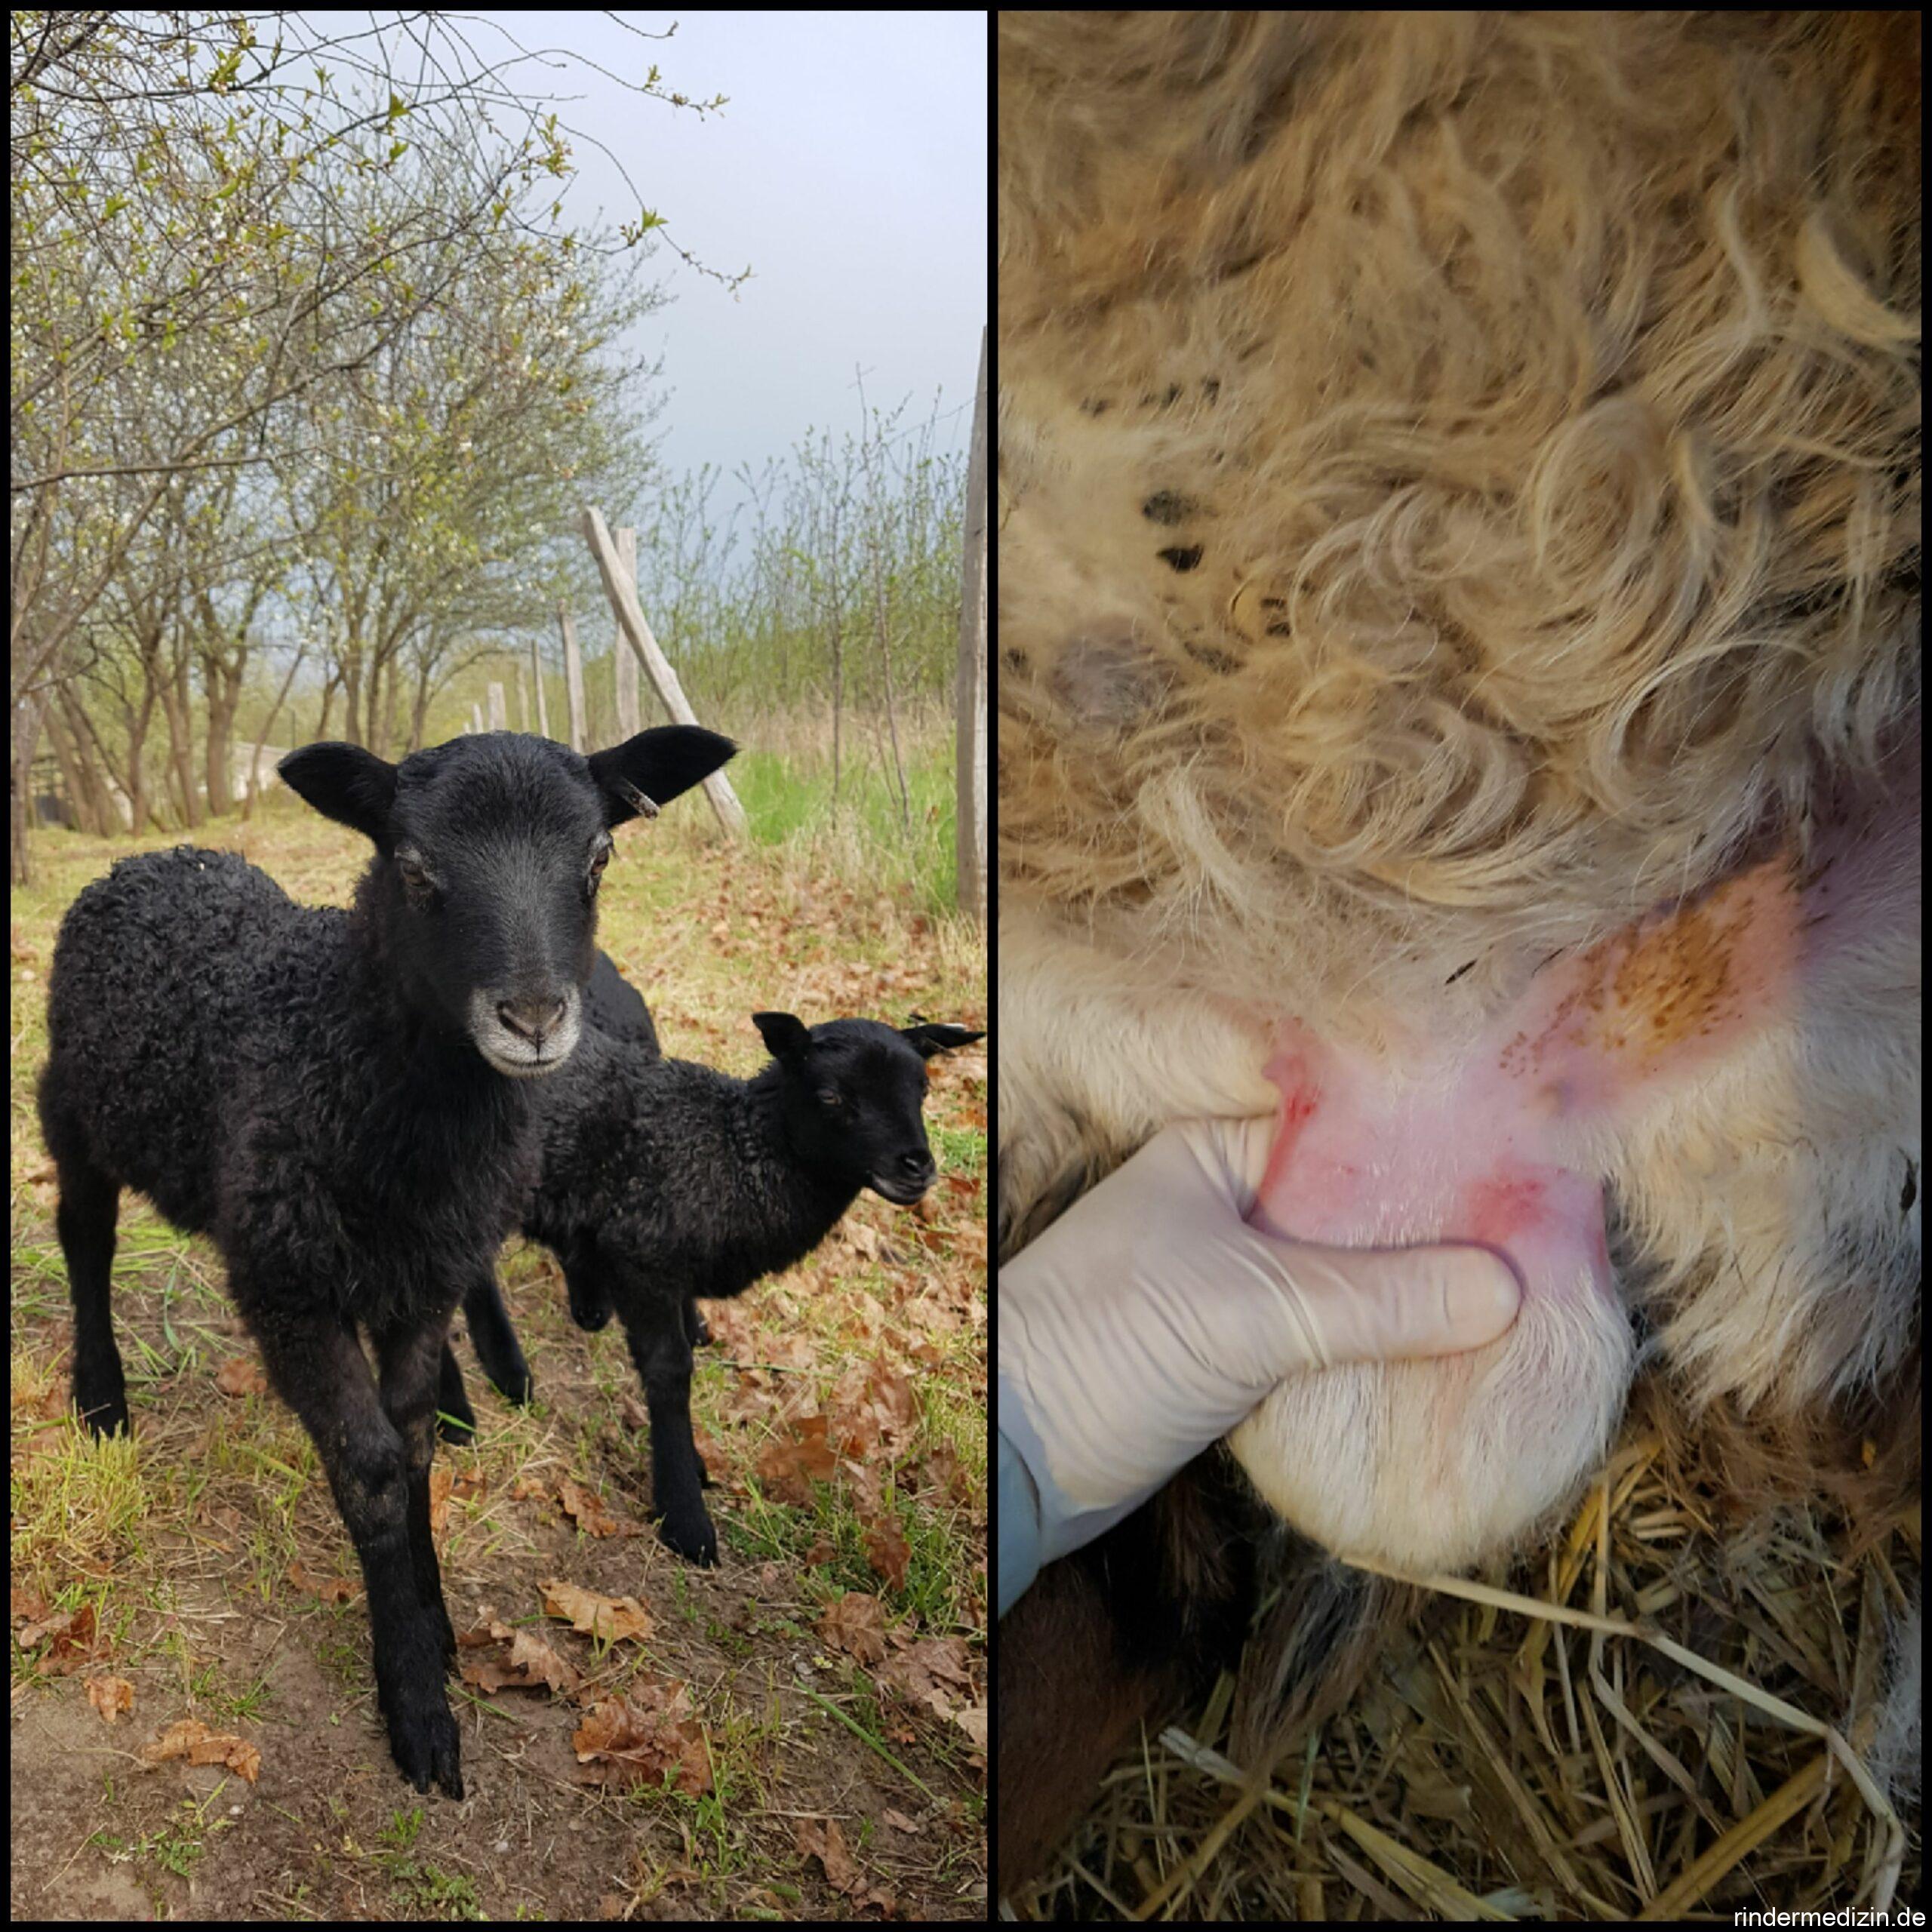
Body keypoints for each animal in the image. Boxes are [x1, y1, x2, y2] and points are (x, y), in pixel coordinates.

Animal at [37, 725, 736, 1797]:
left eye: (598, 860)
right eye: (413, 868)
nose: (534, 1018)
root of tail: (152, 856)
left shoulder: (428, 1272)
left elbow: (408, 1443)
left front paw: (432, 1612)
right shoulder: (287, 1283)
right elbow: (366, 1467)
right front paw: (416, 1706)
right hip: (72, 1109)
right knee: (86, 1241)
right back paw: (102, 1399)